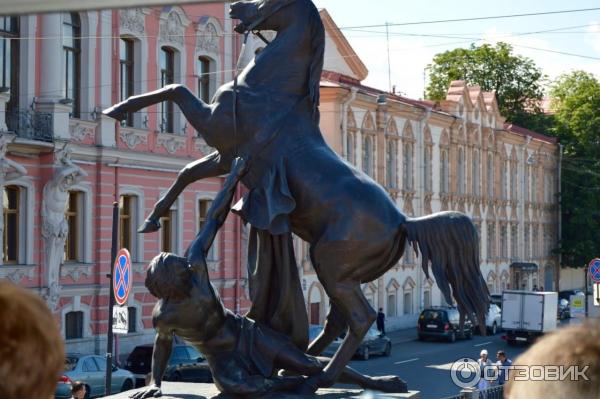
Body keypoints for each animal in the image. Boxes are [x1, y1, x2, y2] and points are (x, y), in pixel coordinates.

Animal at [102, 0, 488, 394]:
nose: (235, 7)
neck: (271, 88)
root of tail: (403, 220)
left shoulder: (216, 130)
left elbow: (176, 87)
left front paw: (117, 109)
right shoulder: (225, 155)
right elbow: (186, 172)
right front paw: (151, 219)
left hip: (330, 264)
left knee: (360, 319)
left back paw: (314, 376)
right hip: (344, 274)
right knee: (337, 321)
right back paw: (304, 364)